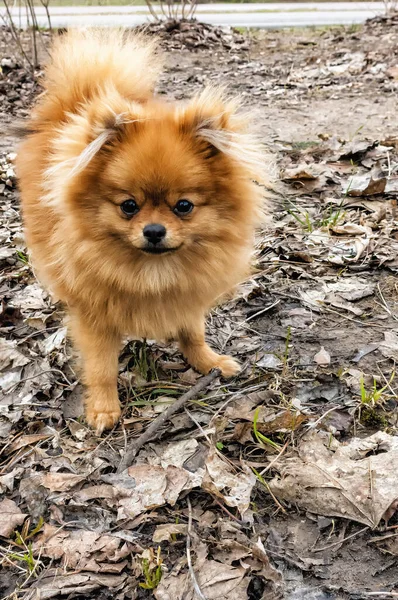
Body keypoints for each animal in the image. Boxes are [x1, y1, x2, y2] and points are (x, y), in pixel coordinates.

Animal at [17, 29, 268, 432]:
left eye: (184, 206)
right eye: (128, 206)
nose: (153, 230)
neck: (153, 272)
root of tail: (76, 100)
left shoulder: (186, 297)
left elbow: (192, 333)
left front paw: (208, 362)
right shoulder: (95, 316)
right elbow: (102, 366)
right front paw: (104, 408)